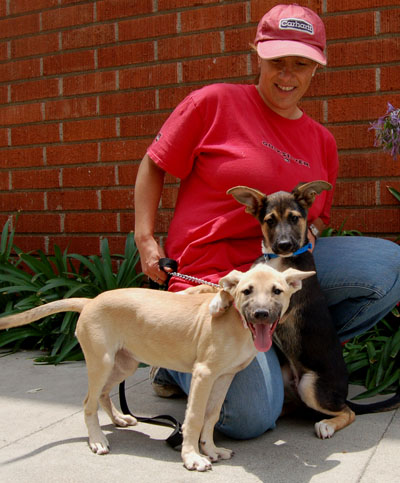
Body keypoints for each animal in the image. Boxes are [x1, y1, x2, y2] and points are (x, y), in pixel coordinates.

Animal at [0, 264, 312, 472]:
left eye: (277, 291)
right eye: (246, 291)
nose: (261, 314)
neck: (237, 324)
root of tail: (91, 301)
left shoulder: (225, 377)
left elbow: (211, 416)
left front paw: (211, 449)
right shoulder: (204, 375)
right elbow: (195, 418)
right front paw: (192, 457)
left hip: (123, 363)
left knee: (102, 394)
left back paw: (119, 419)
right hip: (101, 362)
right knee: (88, 401)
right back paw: (97, 440)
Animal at [228, 182, 400, 438]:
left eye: (294, 218)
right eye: (269, 220)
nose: (284, 246)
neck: (277, 260)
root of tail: (342, 395)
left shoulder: (283, 307)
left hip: (310, 385)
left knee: (347, 413)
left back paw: (327, 425)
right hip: (289, 377)